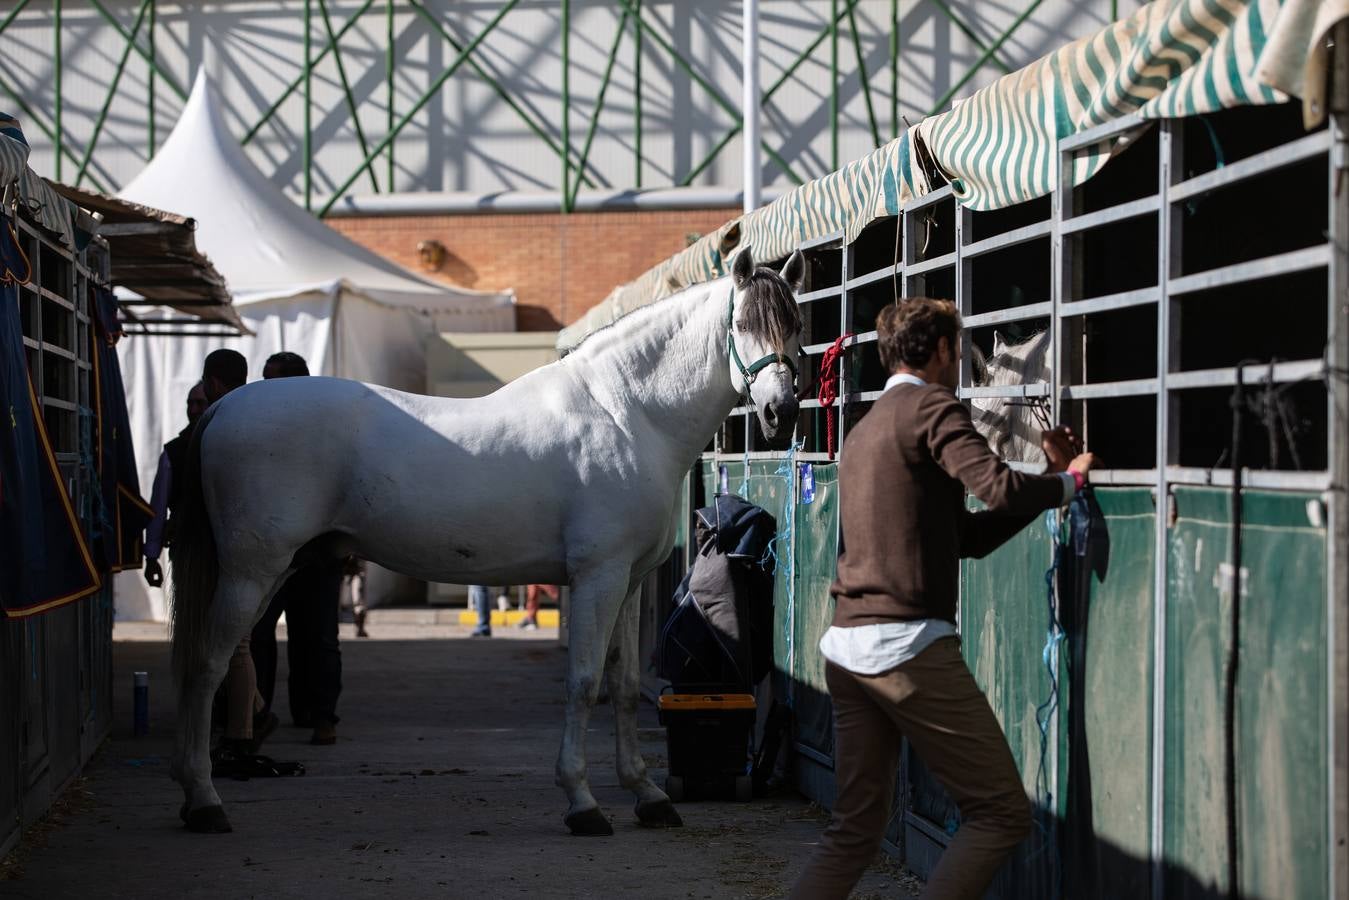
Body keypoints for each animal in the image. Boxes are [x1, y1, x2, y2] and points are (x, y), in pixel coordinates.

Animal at [168, 248, 798, 836]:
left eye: (793, 323)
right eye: (746, 322)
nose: (781, 413)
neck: (626, 415)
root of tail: (224, 407)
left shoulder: (631, 579)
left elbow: (621, 684)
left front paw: (648, 796)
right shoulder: (597, 576)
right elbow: (584, 682)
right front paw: (583, 803)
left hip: (274, 571)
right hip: (251, 571)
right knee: (205, 666)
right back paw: (204, 801)